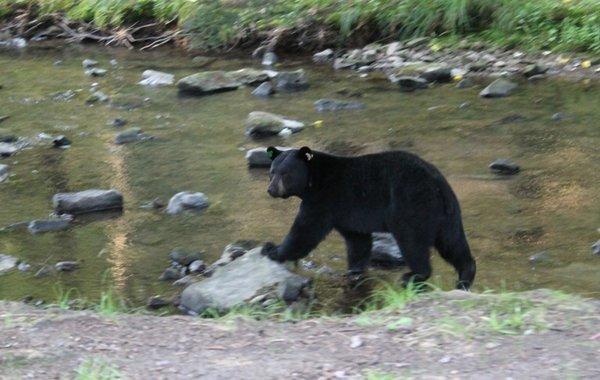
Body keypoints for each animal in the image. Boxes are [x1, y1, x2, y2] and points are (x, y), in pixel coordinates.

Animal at [260, 147, 476, 290]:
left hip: (410, 204)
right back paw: (465, 275)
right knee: (452, 242)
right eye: (271, 172)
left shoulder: (324, 200)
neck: (314, 180)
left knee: (412, 241)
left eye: (285, 173)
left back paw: (413, 275)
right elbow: (357, 240)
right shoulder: (347, 213)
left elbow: (305, 231)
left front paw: (272, 249)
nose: (271, 189)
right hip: (445, 214)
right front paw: (354, 270)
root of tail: (437, 182)